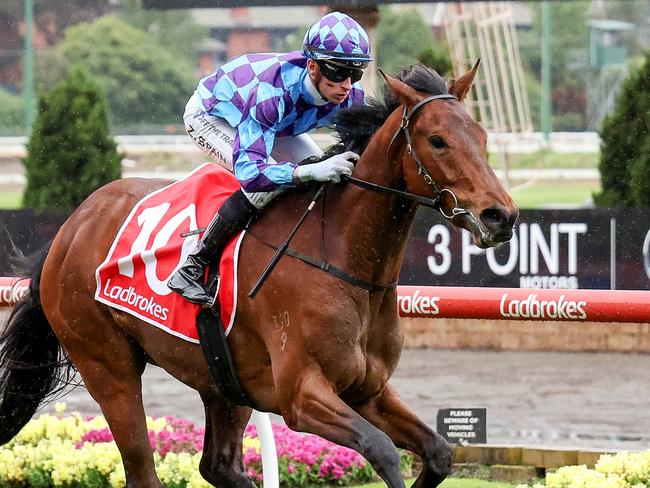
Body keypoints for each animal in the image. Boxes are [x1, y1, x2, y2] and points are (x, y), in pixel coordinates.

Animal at [0, 65, 516, 488]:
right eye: (437, 140)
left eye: (482, 135)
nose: (501, 216)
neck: (345, 261)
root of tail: (71, 227)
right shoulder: (302, 395)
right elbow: (383, 452)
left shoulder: (367, 390)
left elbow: (438, 453)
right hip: (108, 366)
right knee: (143, 470)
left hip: (222, 379)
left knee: (218, 466)